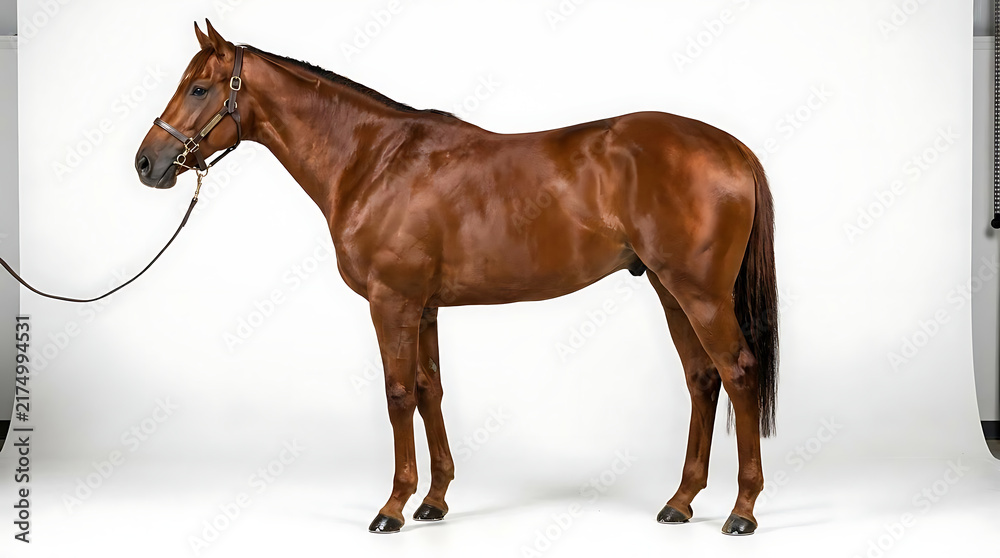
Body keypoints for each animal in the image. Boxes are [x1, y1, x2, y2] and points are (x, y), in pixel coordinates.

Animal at [135, 21, 778, 536]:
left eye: (198, 88)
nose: (147, 163)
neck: (375, 160)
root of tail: (731, 147)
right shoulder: (423, 306)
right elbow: (430, 390)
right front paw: (434, 501)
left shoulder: (391, 302)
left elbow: (398, 394)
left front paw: (392, 507)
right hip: (670, 290)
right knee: (702, 379)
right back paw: (681, 501)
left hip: (700, 294)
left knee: (739, 373)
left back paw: (742, 511)